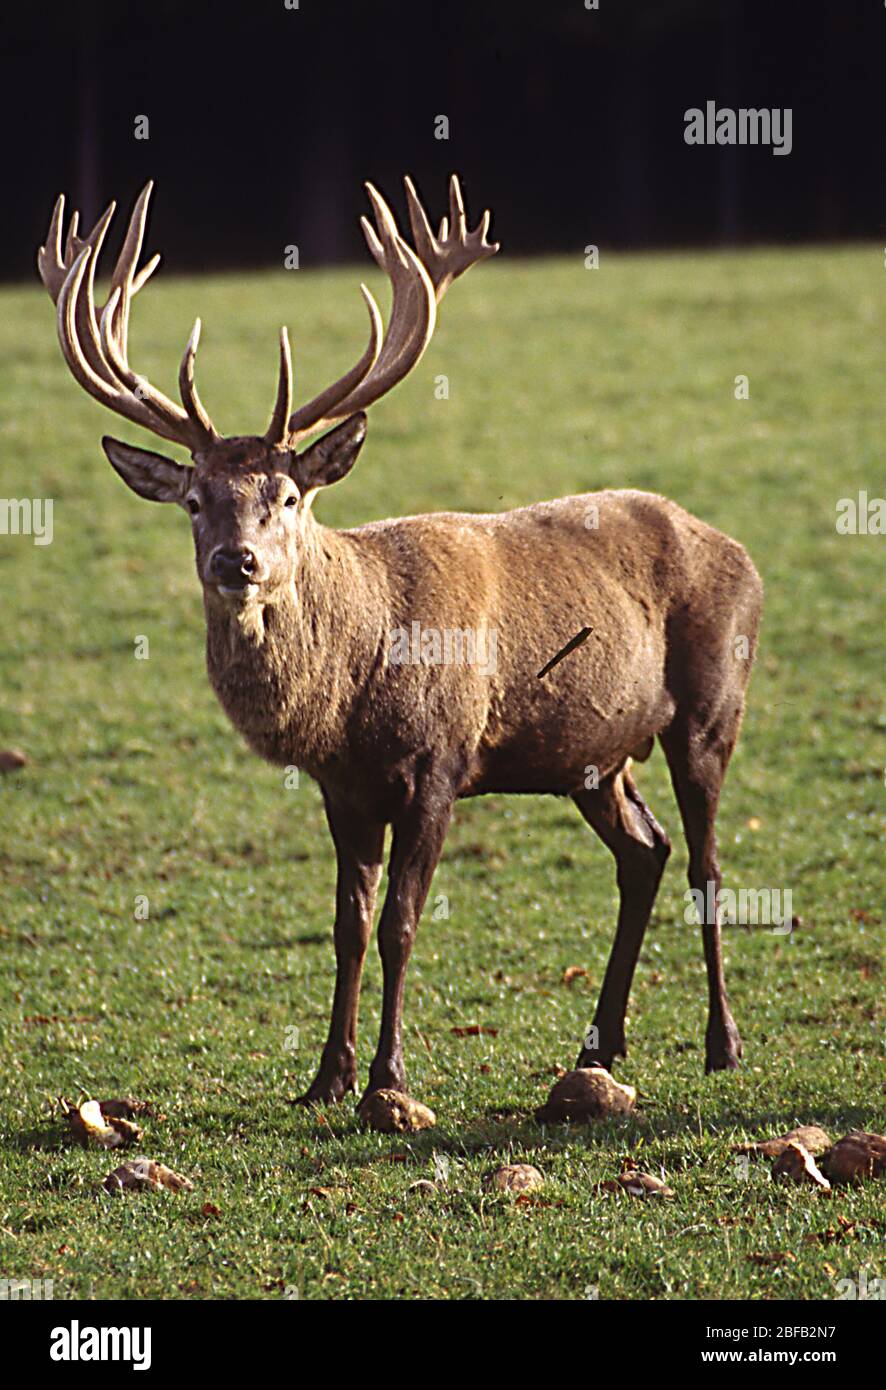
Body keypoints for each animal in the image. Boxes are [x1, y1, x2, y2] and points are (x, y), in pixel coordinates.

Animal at [38, 175, 763, 1108]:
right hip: (595, 755)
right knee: (646, 852)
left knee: (707, 864)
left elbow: (400, 924)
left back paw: (723, 1043)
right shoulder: (341, 786)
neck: (352, 689)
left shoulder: (440, 762)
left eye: (287, 496)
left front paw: (387, 1076)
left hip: (711, 708)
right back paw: (602, 1047)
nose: (238, 563)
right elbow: (346, 926)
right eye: (194, 500)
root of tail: (739, 551)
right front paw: (325, 1078)